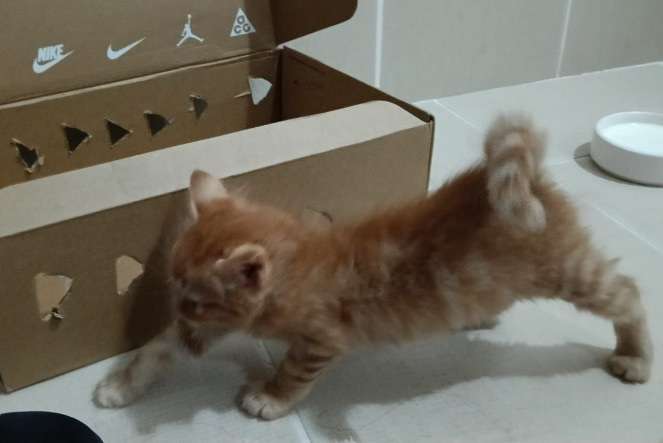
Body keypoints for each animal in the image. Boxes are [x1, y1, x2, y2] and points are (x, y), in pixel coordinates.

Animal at [94, 115, 653, 420]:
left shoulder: (321, 338)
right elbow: (158, 348)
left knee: (628, 293)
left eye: (195, 298)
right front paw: (121, 385)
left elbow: (294, 370)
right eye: (176, 290)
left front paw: (271, 398)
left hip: (570, 271)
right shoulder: (218, 326)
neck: (301, 262)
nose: (181, 310)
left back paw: (635, 359)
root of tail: (532, 176)